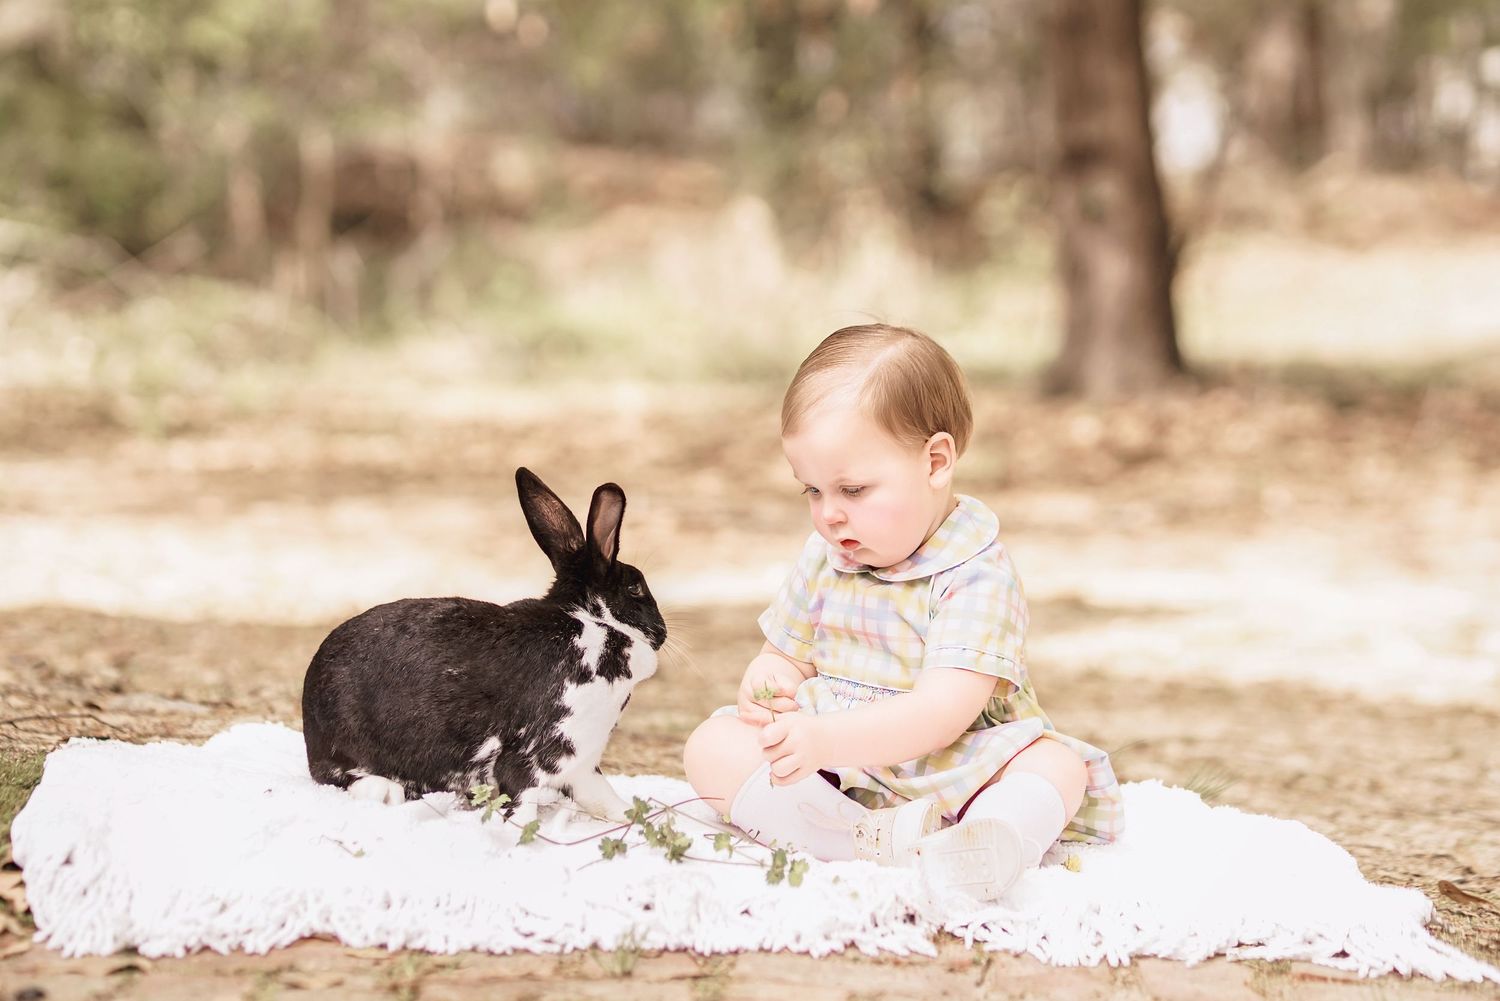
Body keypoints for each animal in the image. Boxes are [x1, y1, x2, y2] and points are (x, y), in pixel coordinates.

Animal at [301, 467, 666, 823]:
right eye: (635, 588)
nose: (662, 632)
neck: (593, 624)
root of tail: (308, 717)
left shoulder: (582, 766)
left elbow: (605, 800)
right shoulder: (538, 751)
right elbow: (523, 802)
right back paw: (384, 788)